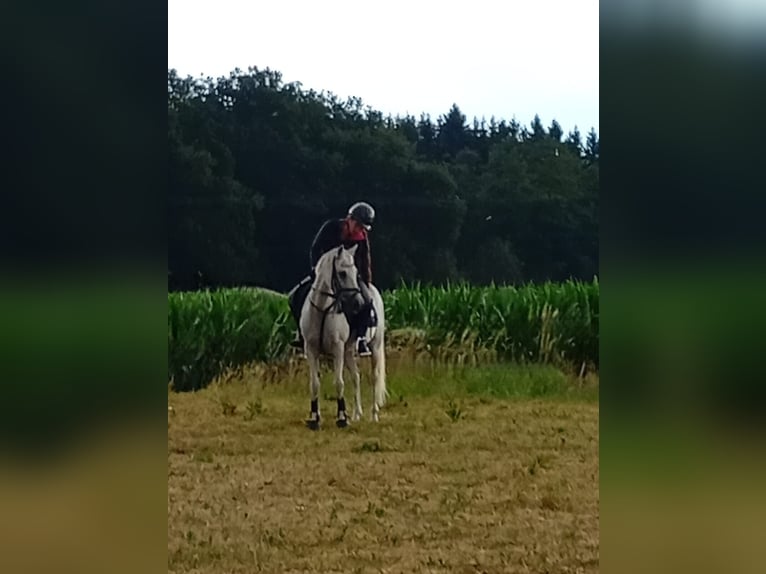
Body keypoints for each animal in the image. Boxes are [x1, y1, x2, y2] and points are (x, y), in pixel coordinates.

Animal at [298, 244, 387, 430]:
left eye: (356, 272)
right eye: (343, 273)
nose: (359, 303)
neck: (323, 309)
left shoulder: (337, 349)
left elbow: (339, 382)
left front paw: (341, 418)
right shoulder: (311, 349)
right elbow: (314, 384)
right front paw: (315, 418)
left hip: (374, 347)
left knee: (374, 377)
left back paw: (373, 414)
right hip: (348, 352)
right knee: (356, 377)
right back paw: (356, 414)